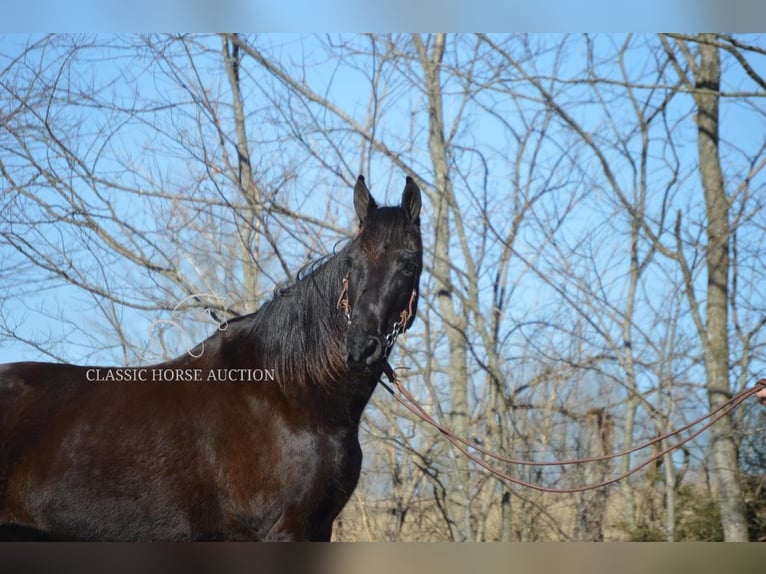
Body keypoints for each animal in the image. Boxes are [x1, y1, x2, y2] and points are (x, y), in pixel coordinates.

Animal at [0, 174, 426, 540]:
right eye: (351, 263)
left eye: (408, 264)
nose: (359, 348)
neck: (290, 392)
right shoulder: (284, 530)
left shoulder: (318, 529)